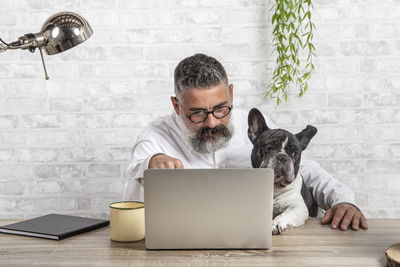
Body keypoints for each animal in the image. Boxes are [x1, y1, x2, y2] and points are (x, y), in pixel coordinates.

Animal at [247, 108, 318, 236]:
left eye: (294, 153)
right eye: (269, 148)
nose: (283, 157)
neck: (274, 186)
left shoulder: (298, 207)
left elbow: (284, 215)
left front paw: (275, 224)